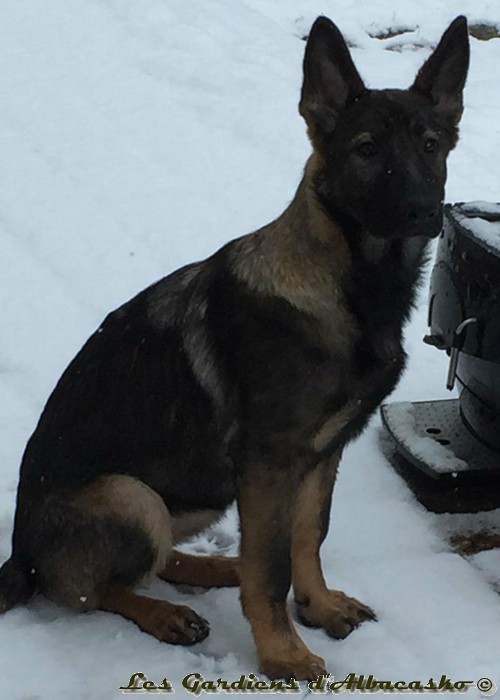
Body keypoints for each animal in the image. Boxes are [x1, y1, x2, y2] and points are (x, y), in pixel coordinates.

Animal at [0, 15, 469, 681]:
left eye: (431, 145)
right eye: (367, 149)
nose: (423, 212)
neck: (348, 286)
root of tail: (20, 555)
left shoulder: (320, 455)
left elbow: (308, 536)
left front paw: (318, 606)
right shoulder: (269, 463)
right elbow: (270, 570)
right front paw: (282, 653)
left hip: (200, 493)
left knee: (163, 558)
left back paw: (214, 568)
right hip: (134, 495)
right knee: (93, 589)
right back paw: (166, 613)